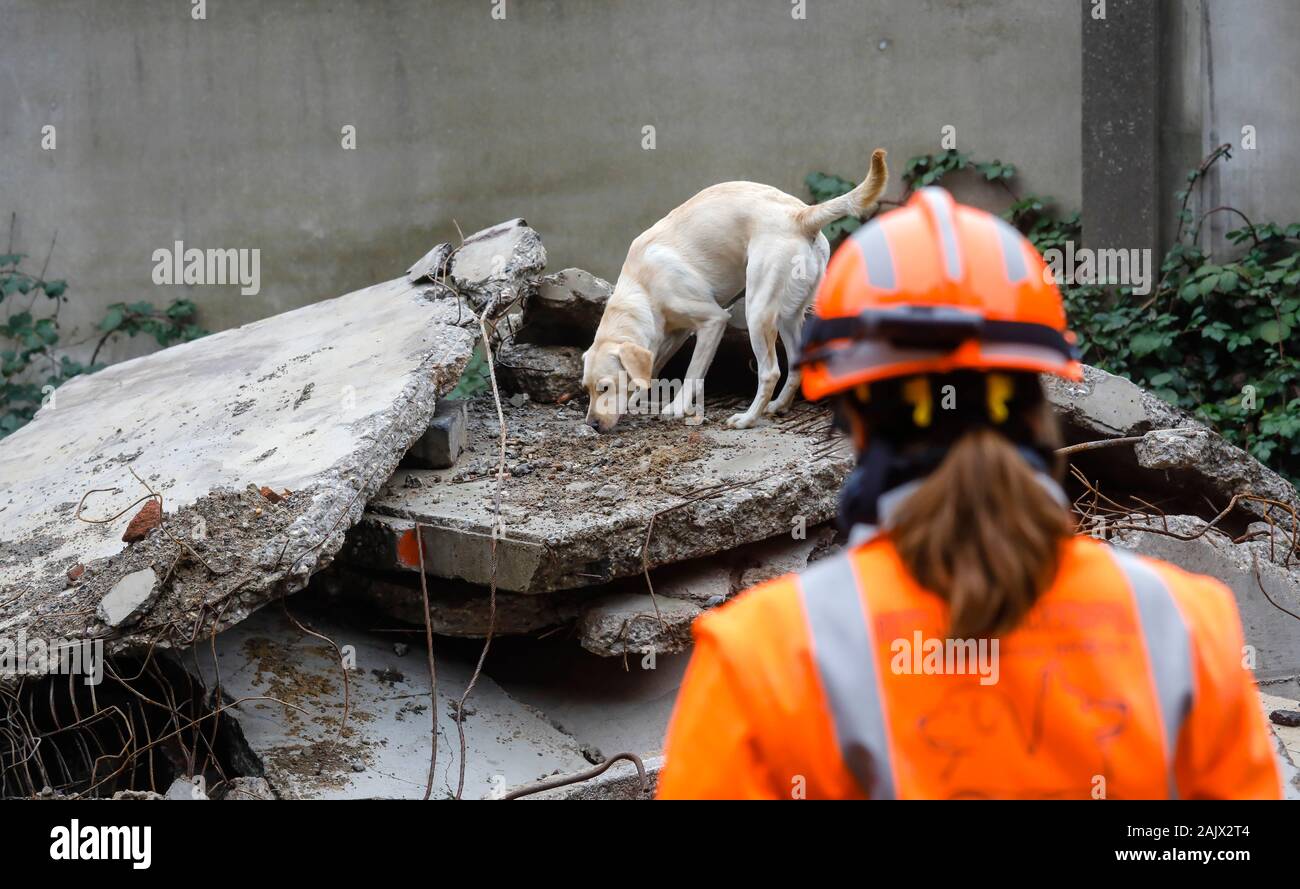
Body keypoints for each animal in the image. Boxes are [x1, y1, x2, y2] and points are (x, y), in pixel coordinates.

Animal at [585, 150, 889, 434]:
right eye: (586, 388)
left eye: (605, 387)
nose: (592, 425)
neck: (642, 286)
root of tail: (800, 216)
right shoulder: (674, 332)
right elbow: (654, 367)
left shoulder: (712, 321)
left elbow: (693, 372)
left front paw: (676, 408)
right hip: (788, 317)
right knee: (796, 364)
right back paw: (778, 405)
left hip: (757, 313)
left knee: (770, 372)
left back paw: (747, 419)